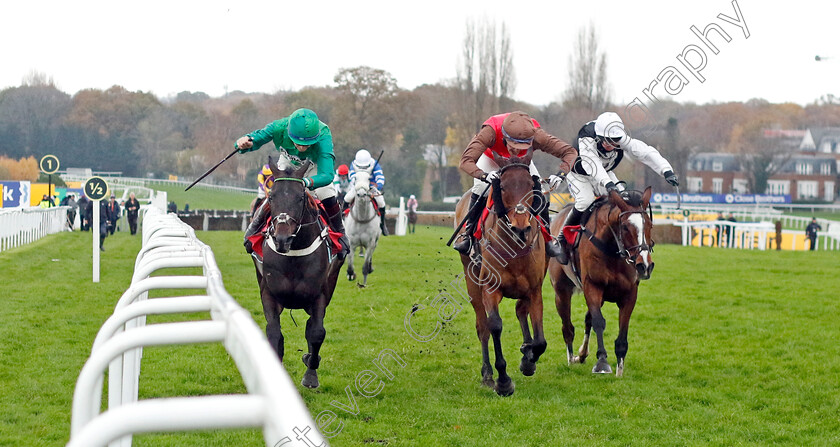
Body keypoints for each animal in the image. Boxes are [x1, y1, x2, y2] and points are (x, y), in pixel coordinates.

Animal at [251, 158, 342, 388]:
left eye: (300, 197)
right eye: (271, 197)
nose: (282, 239)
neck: (293, 253)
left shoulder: (319, 295)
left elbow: (317, 333)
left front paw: (310, 374)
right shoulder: (269, 293)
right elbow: (274, 333)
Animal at [456, 153, 548, 396]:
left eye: (531, 186)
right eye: (504, 187)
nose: (520, 227)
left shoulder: (535, 289)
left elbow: (540, 341)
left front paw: (528, 360)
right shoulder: (490, 288)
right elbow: (494, 325)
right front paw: (503, 381)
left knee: (520, 310)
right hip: (472, 281)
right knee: (482, 327)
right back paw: (487, 374)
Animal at [548, 187, 660, 376]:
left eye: (649, 225)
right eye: (625, 227)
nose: (645, 265)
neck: (613, 250)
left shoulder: (630, 293)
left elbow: (621, 330)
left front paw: (619, 369)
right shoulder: (593, 286)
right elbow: (599, 322)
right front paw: (602, 361)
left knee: (587, 320)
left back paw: (582, 354)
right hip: (561, 291)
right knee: (567, 327)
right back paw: (571, 359)